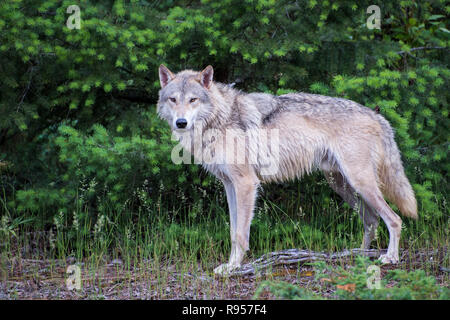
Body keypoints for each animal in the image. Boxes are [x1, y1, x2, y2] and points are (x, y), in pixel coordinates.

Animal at [156, 64, 416, 276]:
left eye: (193, 100)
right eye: (173, 100)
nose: (181, 123)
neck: (220, 118)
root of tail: (377, 115)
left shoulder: (246, 183)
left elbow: (240, 234)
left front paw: (234, 267)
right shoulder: (229, 185)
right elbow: (232, 231)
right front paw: (230, 265)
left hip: (360, 183)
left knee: (394, 219)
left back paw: (390, 258)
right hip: (343, 186)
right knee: (371, 220)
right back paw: (358, 256)